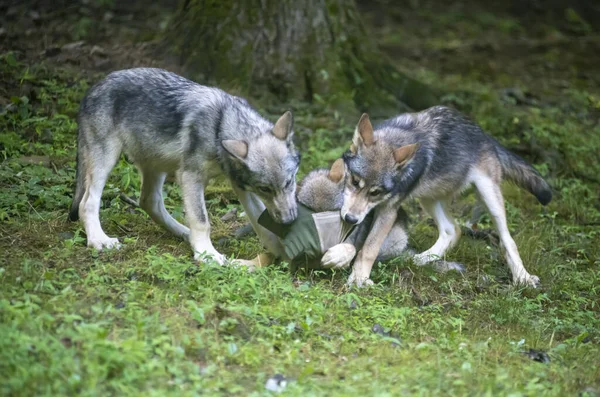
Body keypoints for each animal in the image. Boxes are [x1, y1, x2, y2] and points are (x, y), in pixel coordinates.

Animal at [69, 67, 298, 262]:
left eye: (289, 183)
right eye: (265, 189)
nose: (289, 220)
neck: (219, 126)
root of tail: (93, 87)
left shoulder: (239, 185)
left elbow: (262, 224)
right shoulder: (190, 176)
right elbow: (202, 220)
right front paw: (207, 254)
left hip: (156, 166)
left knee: (149, 202)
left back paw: (185, 234)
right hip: (107, 160)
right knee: (87, 202)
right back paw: (99, 240)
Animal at [332, 106, 552, 288]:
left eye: (375, 193)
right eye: (355, 182)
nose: (350, 219)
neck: (397, 137)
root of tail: (485, 134)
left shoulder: (389, 210)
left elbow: (369, 249)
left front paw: (359, 278)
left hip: (489, 198)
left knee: (507, 240)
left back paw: (523, 278)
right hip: (429, 200)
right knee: (452, 230)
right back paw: (421, 259)